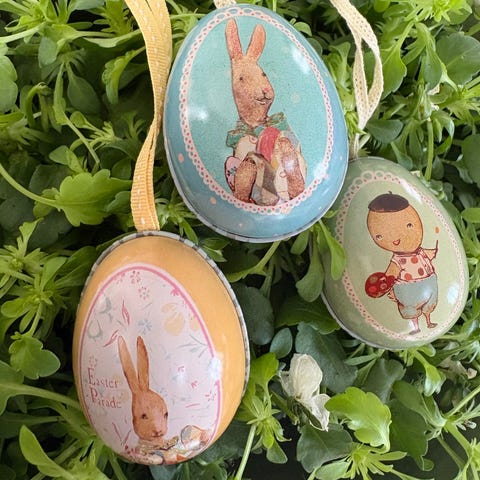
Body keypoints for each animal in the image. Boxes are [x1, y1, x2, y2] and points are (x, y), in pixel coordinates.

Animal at [224, 18, 307, 206]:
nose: (265, 90)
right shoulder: (244, 156)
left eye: (264, 74)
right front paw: (242, 198)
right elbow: (245, 173)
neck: (256, 126)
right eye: (241, 78)